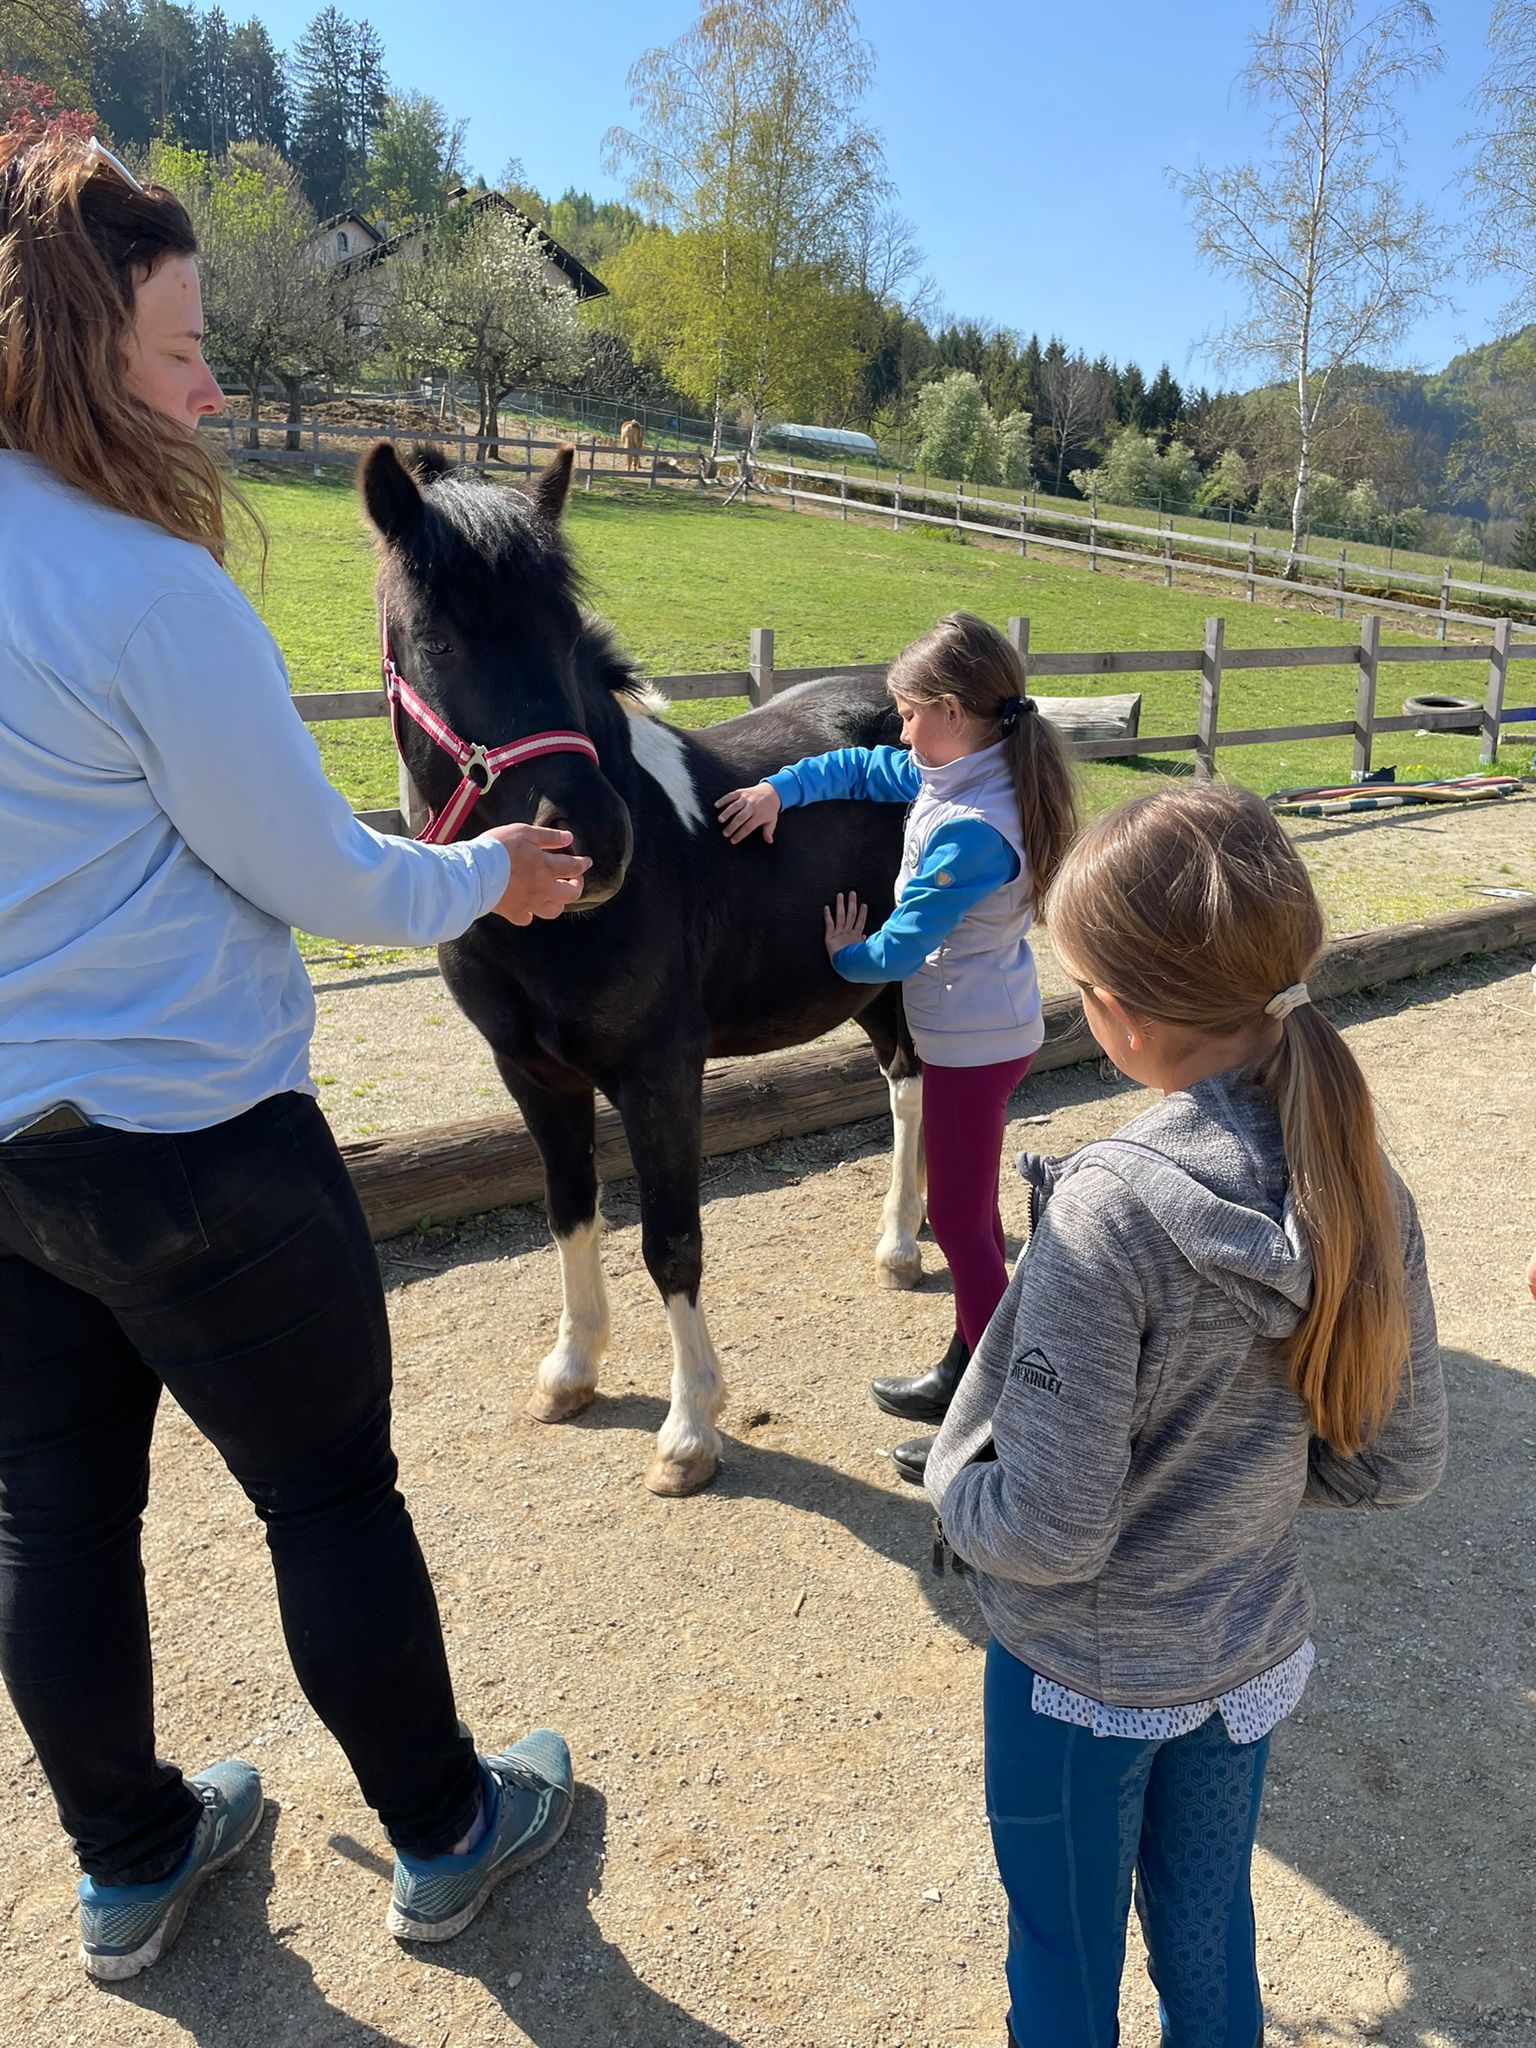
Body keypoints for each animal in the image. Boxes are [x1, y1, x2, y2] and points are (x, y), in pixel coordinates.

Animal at [360, 440, 925, 1499]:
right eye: (439, 642)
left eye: (565, 633)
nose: (590, 840)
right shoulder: (533, 1076)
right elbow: (572, 1212)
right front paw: (570, 1372)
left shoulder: (661, 1076)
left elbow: (673, 1240)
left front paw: (690, 1430)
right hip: (873, 987)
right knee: (907, 1087)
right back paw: (904, 1242)